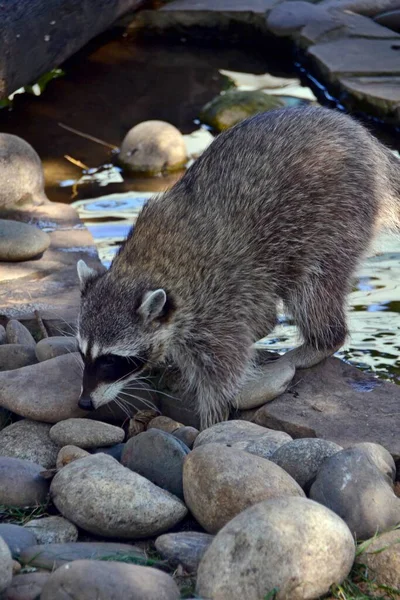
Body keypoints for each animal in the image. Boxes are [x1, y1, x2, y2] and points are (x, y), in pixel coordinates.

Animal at [76, 105, 400, 428]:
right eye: (83, 354)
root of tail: (372, 147)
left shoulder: (216, 301)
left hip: (336, 217)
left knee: (312, 289)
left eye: (111, 360)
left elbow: (226, 368)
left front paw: (211, 421)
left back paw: (320, 343)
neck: (143, 265)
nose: (84, 403)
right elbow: (261, 320)